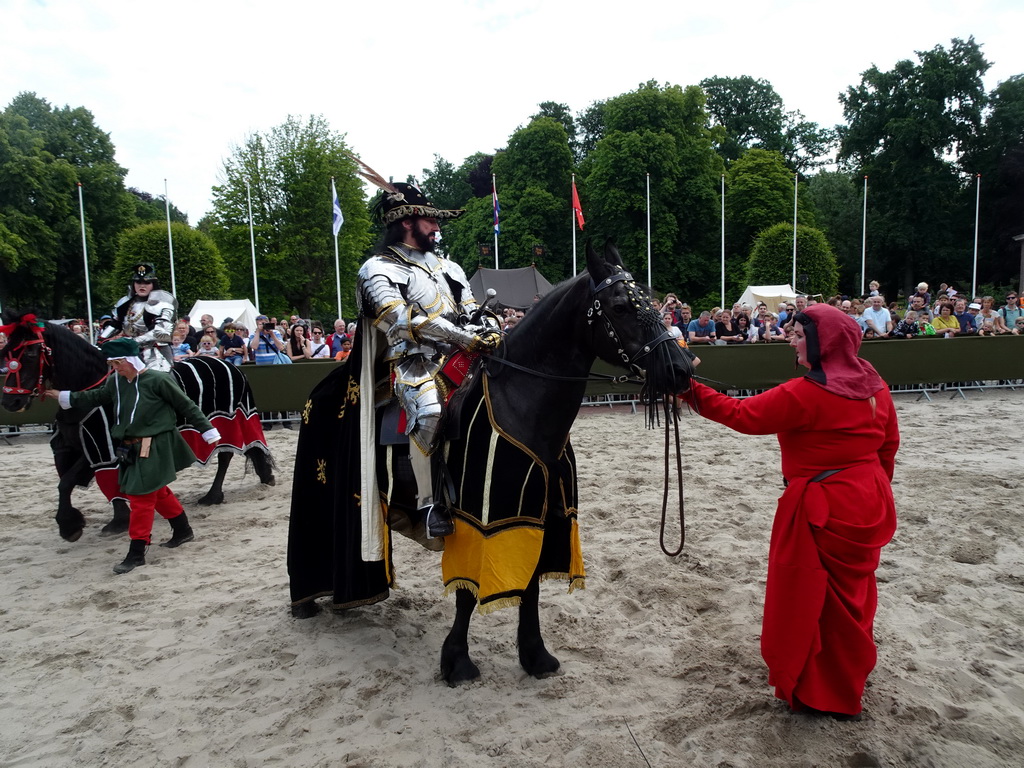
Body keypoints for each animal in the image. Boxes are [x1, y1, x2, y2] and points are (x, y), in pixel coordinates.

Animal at [1, 315, 276, 544]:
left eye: (30, 353)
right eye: (5, 353)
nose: (11, 401)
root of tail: (231, 366)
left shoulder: (101, 448)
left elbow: (72, 482)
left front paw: (76, 525)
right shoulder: (72, 447)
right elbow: (69, 482)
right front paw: (83, 521)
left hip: (227, 421)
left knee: (226, 454)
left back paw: (213, 494)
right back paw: (261, 478)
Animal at [288, 241, 688, 684]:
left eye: (650, 301)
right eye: (620, 306)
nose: (681, 370)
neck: (521, 402)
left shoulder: (537, 515)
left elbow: (530, 584)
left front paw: (535, 655)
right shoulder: (479, 520)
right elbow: (467, 594)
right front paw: (457, 661)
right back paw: (305, 601)